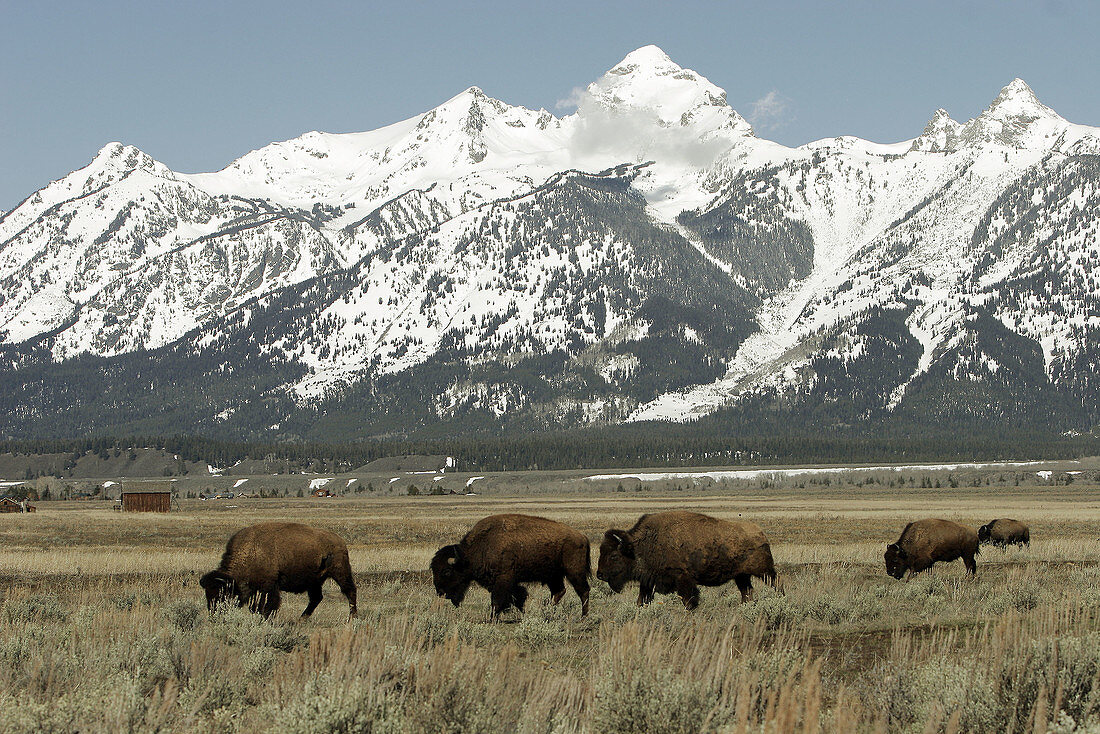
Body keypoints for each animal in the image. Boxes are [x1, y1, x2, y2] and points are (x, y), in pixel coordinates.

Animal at [195, 521, 354, 620]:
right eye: (207, 595)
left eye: (222, 594)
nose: (214, 615)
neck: (250, 552)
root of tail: (340, 541)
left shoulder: (268, 587)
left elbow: (268, 605)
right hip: (314, 581)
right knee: (316, 598)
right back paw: (301, 619)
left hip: (340, 572)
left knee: (350, 591)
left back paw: (352, 617)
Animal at [426, 515, 589, 616]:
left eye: (446, 571)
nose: (440, 591)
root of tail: (581, 536)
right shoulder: (505, 582)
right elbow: (518, 597)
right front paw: (524, 612)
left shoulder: (503, 580)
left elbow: (497, 601)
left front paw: (492, 618)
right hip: (553, 576)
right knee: (558, 591)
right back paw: (548, 610)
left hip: (575, 572)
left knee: (583, 591)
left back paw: (584, 616)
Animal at [598, 510, 778, 607]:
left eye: (614, 555)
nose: (600, 574)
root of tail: (761, 534)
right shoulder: (647, 582)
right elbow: (642, 600)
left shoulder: (683, 580)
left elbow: (689, 600)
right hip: (741, 576)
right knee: (746, 591)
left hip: (765, 572)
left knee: (776, 583)